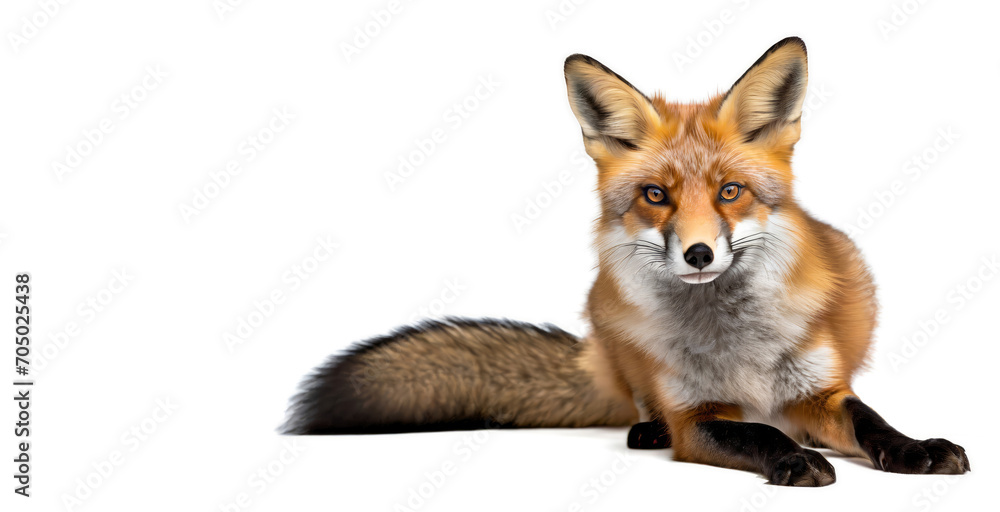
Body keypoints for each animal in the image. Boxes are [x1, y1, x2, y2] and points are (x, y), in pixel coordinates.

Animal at [282, 37, 970, 486]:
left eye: (730, 192)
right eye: (656, 196)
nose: (699, 252)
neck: (737, 347)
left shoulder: (819, 390)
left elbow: (872, 422)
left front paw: (916, 449)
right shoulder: (697, 415)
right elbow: (757, 431)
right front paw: (793, 457)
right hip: (610, 323)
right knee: (641, 403)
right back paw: (646, 429)